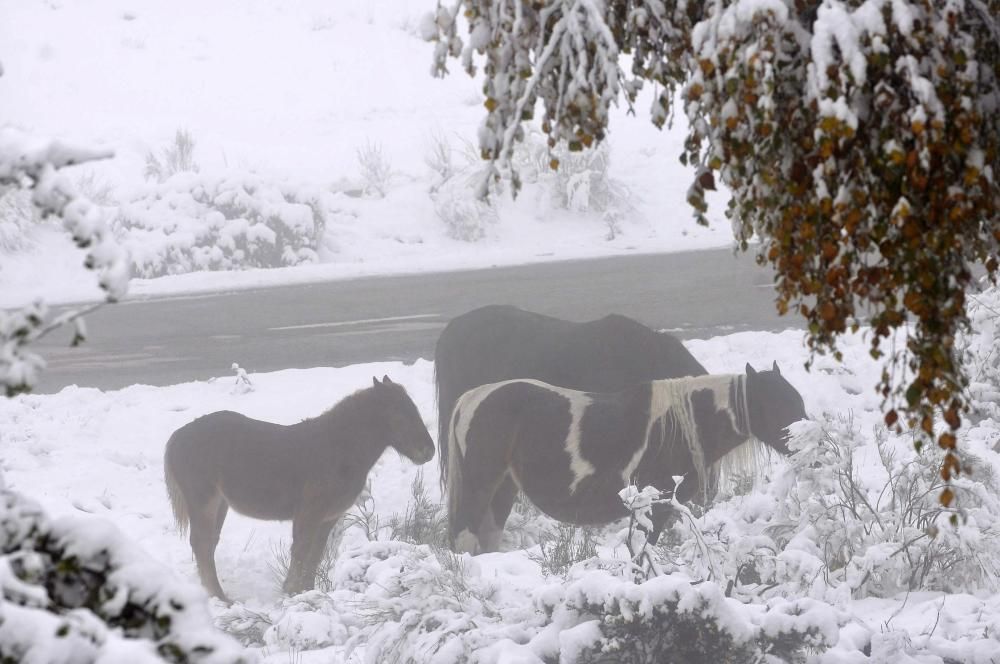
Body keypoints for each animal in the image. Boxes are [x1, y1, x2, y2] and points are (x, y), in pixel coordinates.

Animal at [164, 376, 434, 600]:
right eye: (399, 415)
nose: (428, 451)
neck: (338, 449)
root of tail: (178, 437)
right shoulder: (308, 514)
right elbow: (301, 553)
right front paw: (292, 593)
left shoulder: (328, 518)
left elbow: (314, 557)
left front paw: (306, 592)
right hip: (204, 501)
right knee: (202, 544)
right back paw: (221, 598)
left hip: (220, 504)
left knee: (207, 545)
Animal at [446, 364, 804, 556]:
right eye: (778, 405)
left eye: (796, 402)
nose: (806, 446)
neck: (680, 425)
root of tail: (471, 398)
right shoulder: (655, 505)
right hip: (480, 486)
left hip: (503, 488)